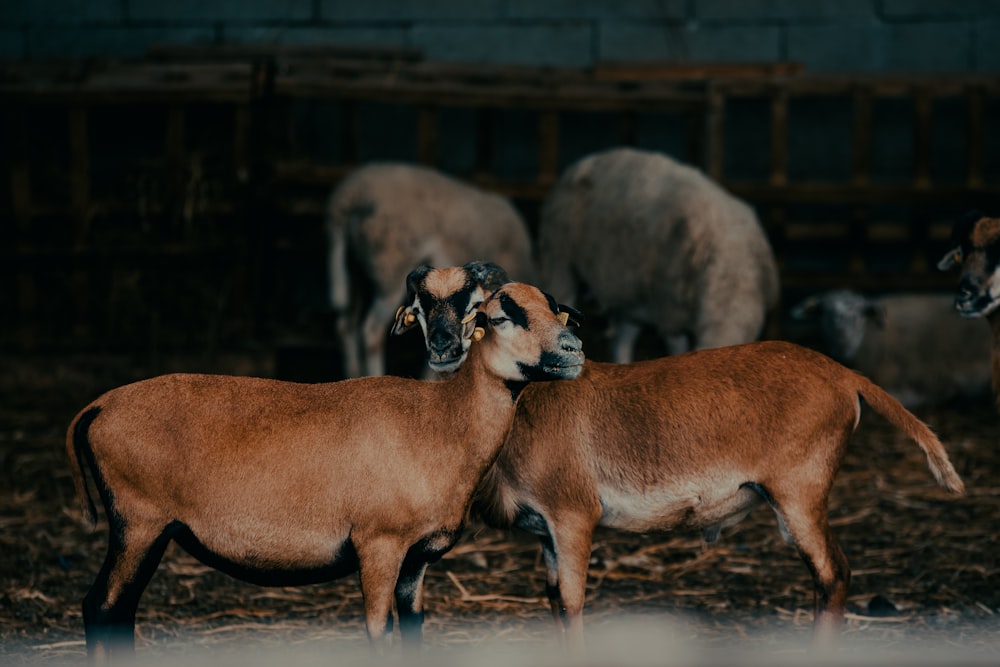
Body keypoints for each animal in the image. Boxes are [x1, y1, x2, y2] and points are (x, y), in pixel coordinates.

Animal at [536, 148, 776, 362]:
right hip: (558, 259)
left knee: (622, 340)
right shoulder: (668, 306)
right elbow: (677, 345)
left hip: (632, 293)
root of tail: (586, 160)